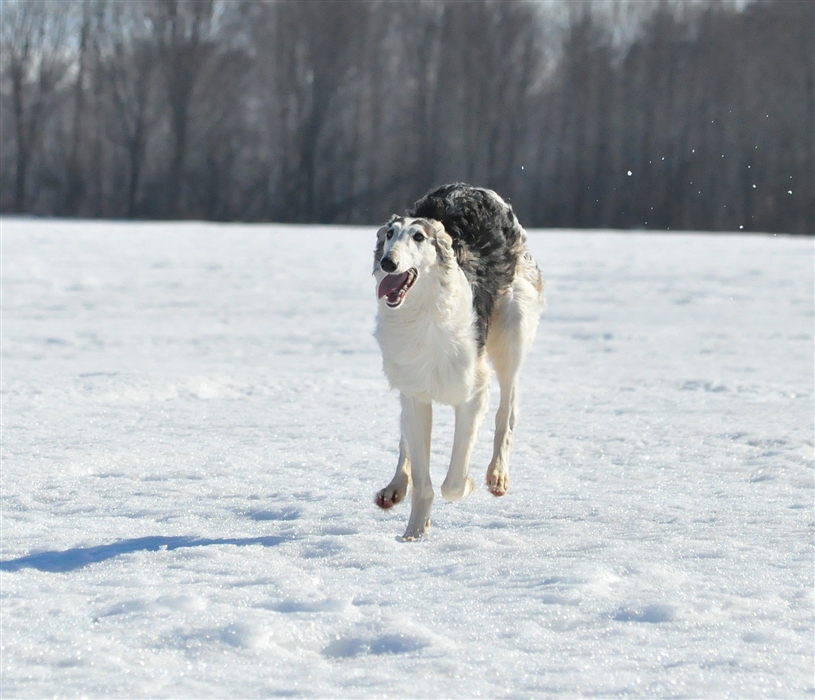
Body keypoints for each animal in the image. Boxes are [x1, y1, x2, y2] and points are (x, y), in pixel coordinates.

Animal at [372, 183, 544, 540]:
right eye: (390, 234)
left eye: (419, 237)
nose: (388, 262)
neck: (424, 316)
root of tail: (475, 189)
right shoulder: (415, 393)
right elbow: (422, 478)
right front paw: (413, 535)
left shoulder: (473, 393)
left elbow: (452, 483)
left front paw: (469, 484)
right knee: (404, 441)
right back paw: (395, 487)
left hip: (512, 335)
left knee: (507, 411)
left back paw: (497, 475)